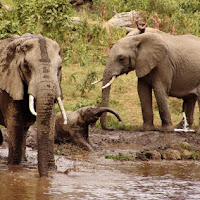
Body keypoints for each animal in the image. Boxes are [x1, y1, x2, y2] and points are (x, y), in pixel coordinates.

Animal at [0, 33, 67, 177]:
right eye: (26, 65)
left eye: (60, 67)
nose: (42, 177)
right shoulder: (9, 81)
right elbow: (14, 123)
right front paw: (14, 169)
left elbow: (50, 120)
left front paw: (51, 171)